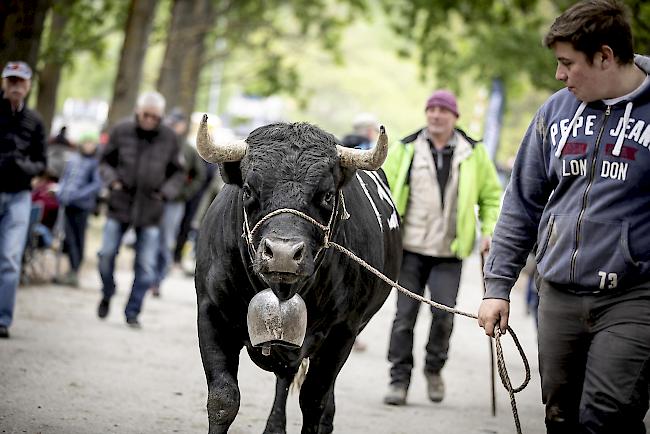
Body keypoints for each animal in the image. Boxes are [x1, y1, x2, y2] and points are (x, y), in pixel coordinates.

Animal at [194, 119, 400, 434]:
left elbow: (314, 400)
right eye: (248, 190)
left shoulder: (343, 331)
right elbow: (223, 399)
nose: (282, 253)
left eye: (327, 195)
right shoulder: (211, 312)